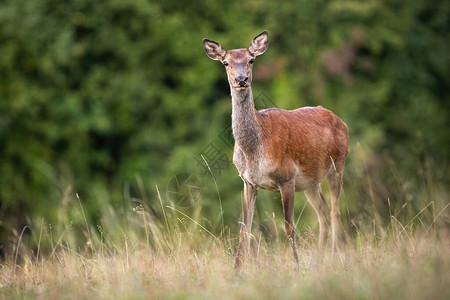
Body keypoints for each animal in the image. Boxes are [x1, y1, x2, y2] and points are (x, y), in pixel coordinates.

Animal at [203, 31, 348, 270]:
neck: (255, 151)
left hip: (338, 166)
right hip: (310, 182)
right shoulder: (248, 181)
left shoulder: (286, 177)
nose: (241, 79)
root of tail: (342, 122)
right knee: (324, 212)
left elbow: (289, 227)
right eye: (226, 62)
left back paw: (335, 257)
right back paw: (320, 259)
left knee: (336, 211)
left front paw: (297, 267)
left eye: (251, 60)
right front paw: (236, 270)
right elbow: (244, 228)